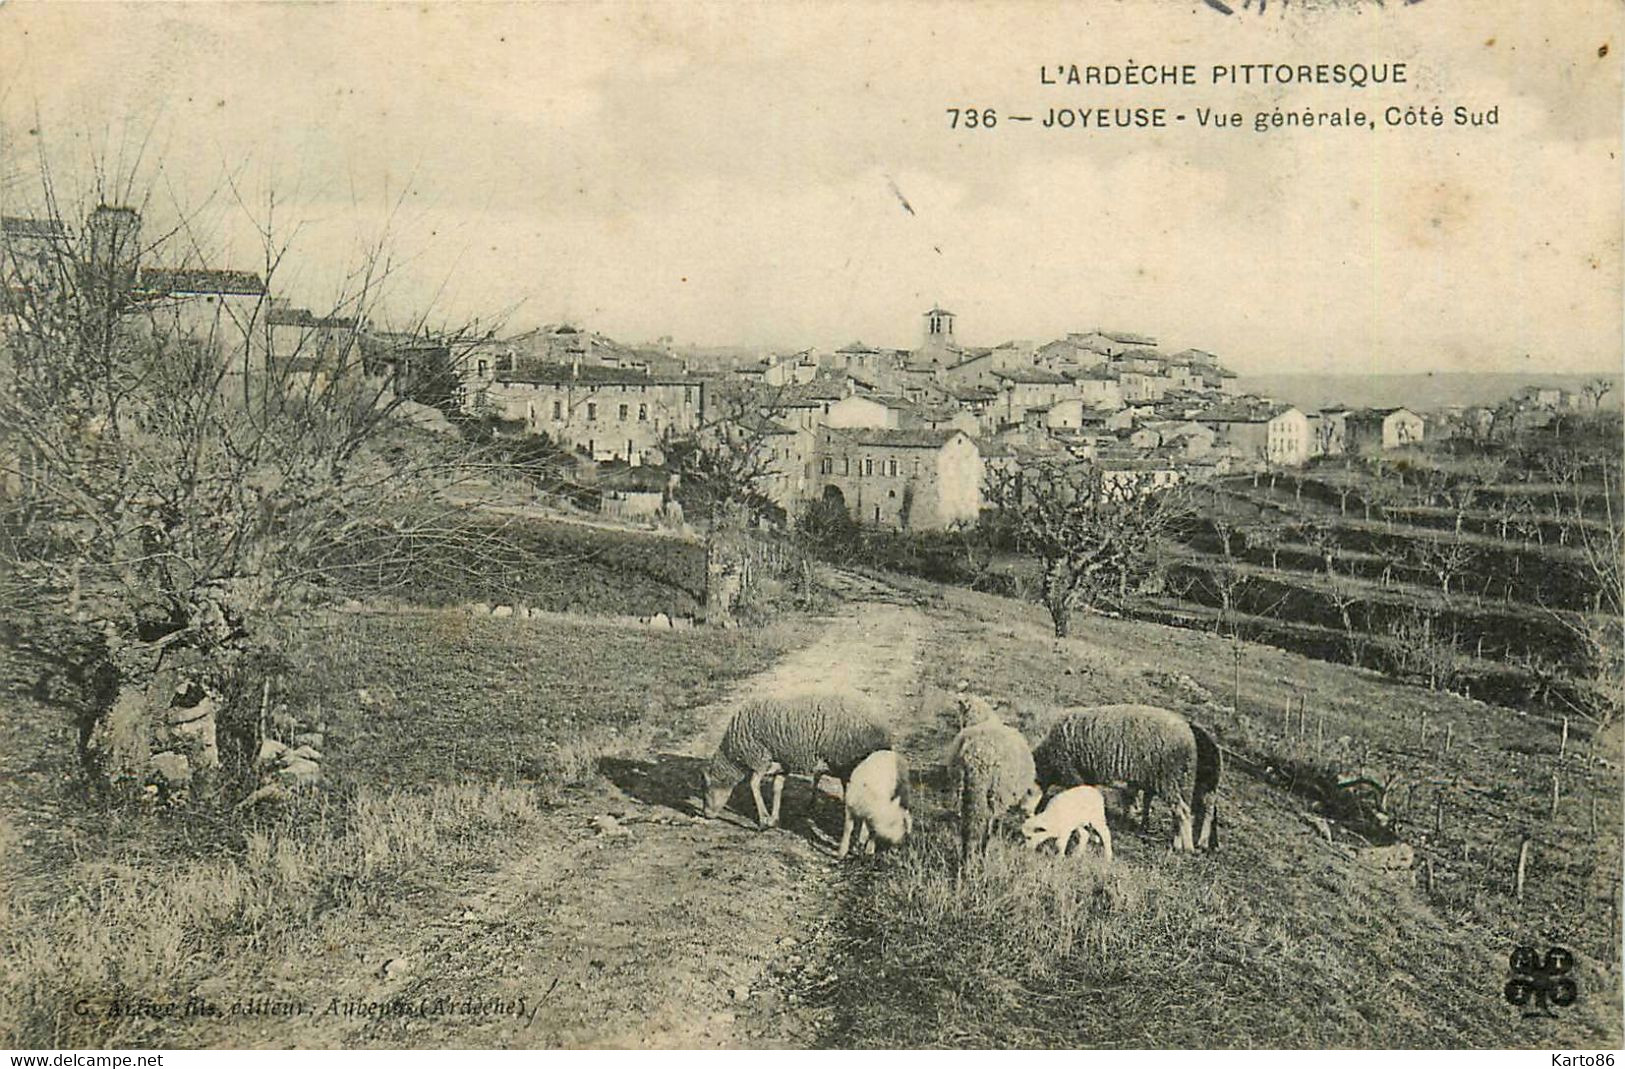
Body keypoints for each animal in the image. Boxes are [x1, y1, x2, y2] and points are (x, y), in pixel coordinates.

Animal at [702, 685, 897, 851]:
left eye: (706, 790)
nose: (705, 814)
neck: (734, 754)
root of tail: (884, 729)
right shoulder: (781, 762)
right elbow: (777, 788)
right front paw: (773, 819)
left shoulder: (760, 757)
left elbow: (754, 785)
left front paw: (763, 820)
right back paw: (864, 842)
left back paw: (861, 840)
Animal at [1033, 705, 1202, 851]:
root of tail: (1189, 737)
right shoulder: (1087, 778)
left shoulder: (1073, 774)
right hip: (1179, 781)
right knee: (1177, 812)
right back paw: (1177, 843)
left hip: (1169, 779)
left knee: (1182, 812)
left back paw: (1187, 848)